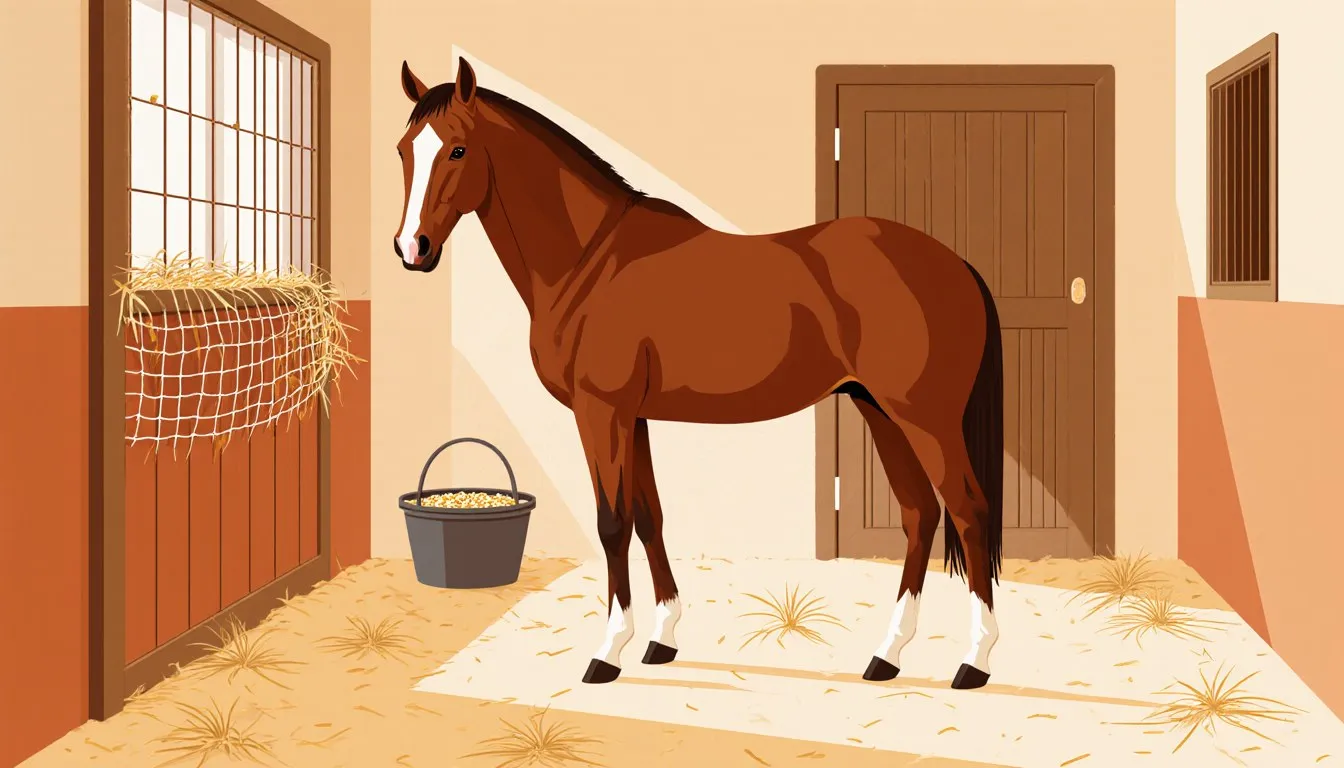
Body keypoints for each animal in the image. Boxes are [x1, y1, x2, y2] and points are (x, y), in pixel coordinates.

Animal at [393, 57, 1005, 690]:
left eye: (458, 149)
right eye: (404, 150)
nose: (412, 248)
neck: (590, 261)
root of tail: (958, 264)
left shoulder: (601, 411)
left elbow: (612, 522)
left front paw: (608, 651)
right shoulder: (633, 417)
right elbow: (649, 518)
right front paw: (661, 639)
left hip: (926, 417)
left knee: (968, 510)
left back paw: (974, 662)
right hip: (878, 408)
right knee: (920, 513)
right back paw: (887, 655)